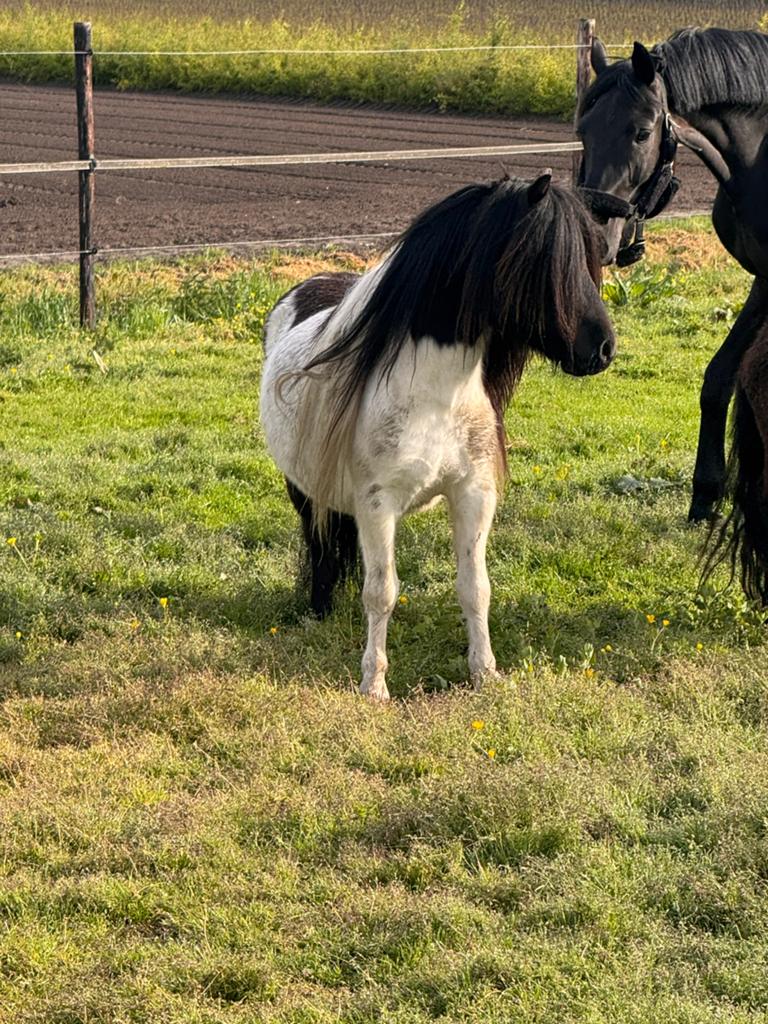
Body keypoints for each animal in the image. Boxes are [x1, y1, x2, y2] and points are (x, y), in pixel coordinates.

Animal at [260, 173, 615, 700]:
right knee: (320, 544)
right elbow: (381, 592)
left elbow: (475, 587)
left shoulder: (473, 494)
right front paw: (374, 685)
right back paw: (319, 611)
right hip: (304, 489)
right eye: (541, 260)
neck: (435, 393)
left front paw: (485, 672)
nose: (604, 348)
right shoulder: (377, 504)